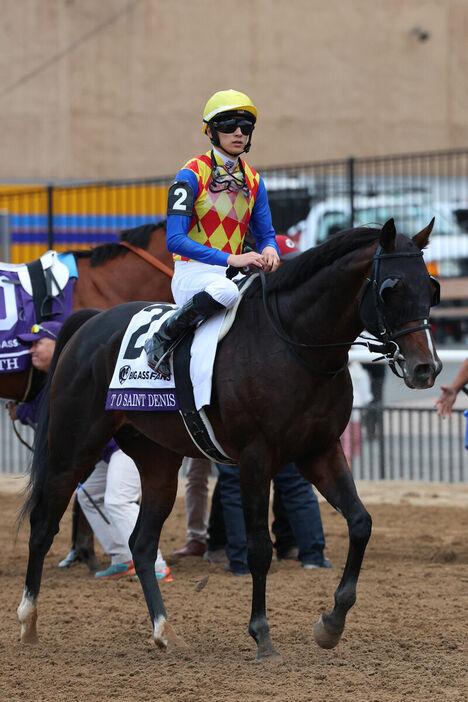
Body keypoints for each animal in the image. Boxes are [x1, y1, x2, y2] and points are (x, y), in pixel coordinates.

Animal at [18, 219, 442, 660]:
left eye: (431, 289)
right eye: (391, 288)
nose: (426, 368)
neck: (294, 344)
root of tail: (90, 322)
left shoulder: (319, 450)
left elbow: (360, 523)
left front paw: (331, 623)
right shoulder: (257, 458)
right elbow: (259, 548)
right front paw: (262, 634)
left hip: (157, 460)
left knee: (141, 541)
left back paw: (165, 630)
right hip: (72, 448)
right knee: (43, 525)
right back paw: (28, 621)